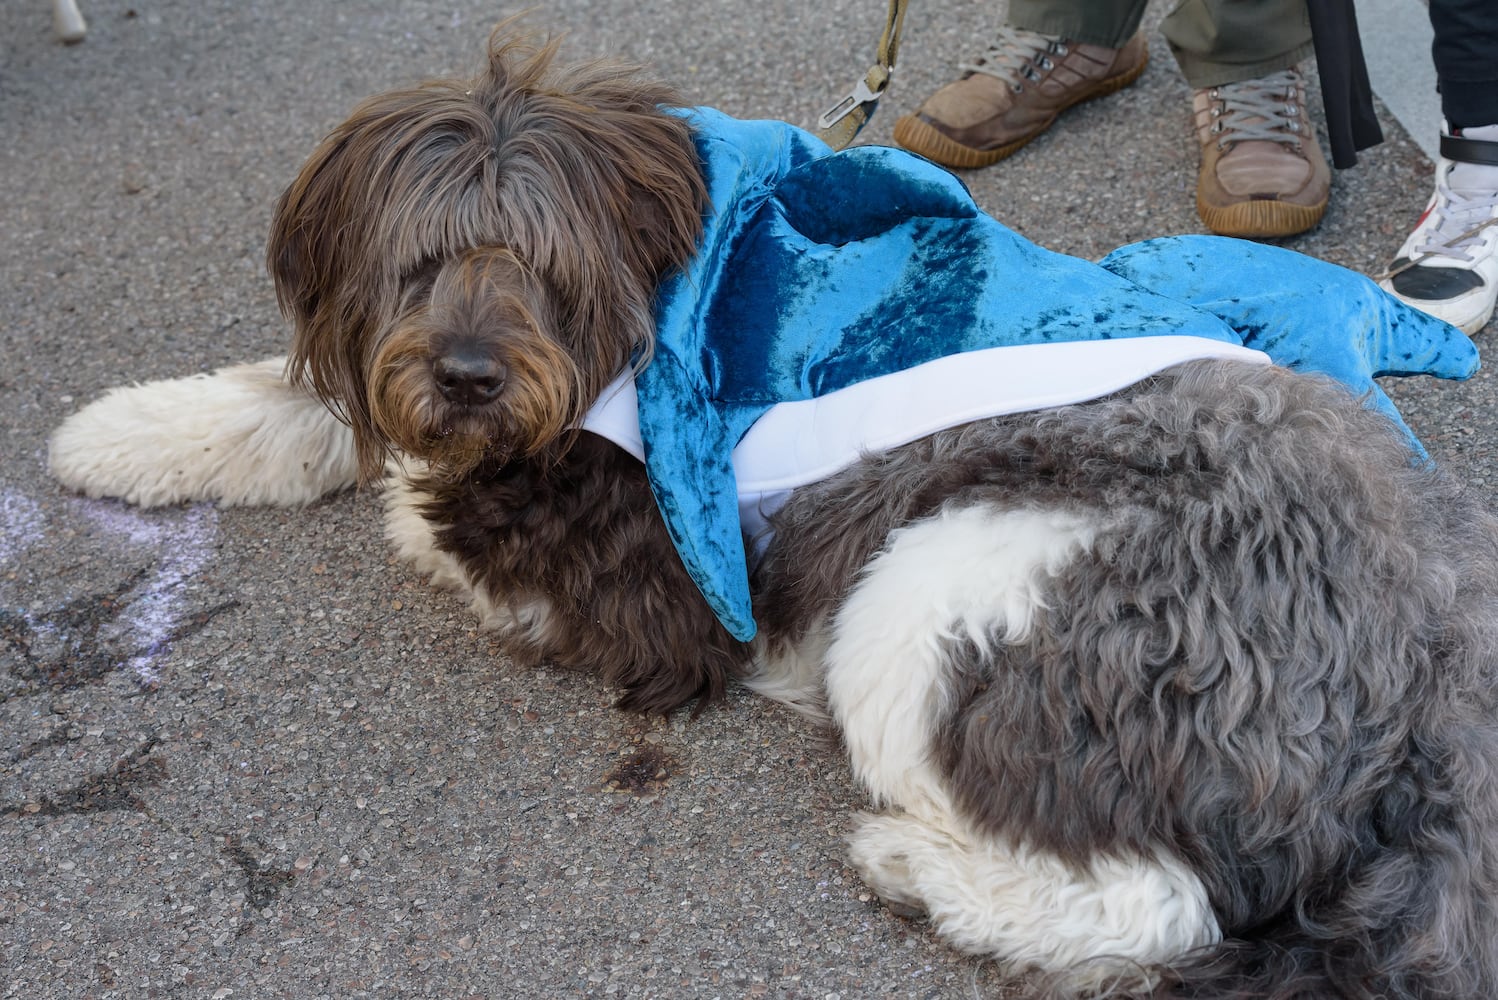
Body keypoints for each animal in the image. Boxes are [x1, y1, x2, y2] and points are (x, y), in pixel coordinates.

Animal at [43, 27, 1498, 994]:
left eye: (549, 271)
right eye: (419, 259)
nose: (464, 373)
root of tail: (1428, 664)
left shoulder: (646, 585)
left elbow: (415, 493)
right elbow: (320, 407)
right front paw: (125, 430)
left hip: (959, 584)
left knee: (1156, 904)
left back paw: (920, 868)